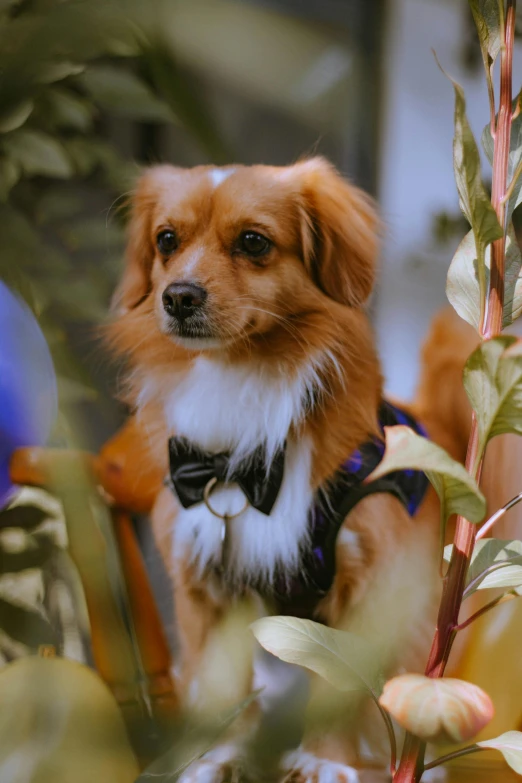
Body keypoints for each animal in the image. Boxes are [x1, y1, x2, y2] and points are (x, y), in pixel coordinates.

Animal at [107, 161, 474, 783]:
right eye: (167, 241)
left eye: (254, 242)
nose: (177, 295)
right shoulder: (205, 588)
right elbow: (220, 687)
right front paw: (216, 758)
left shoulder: (368, 591)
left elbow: (340, 686)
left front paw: (328, 761)